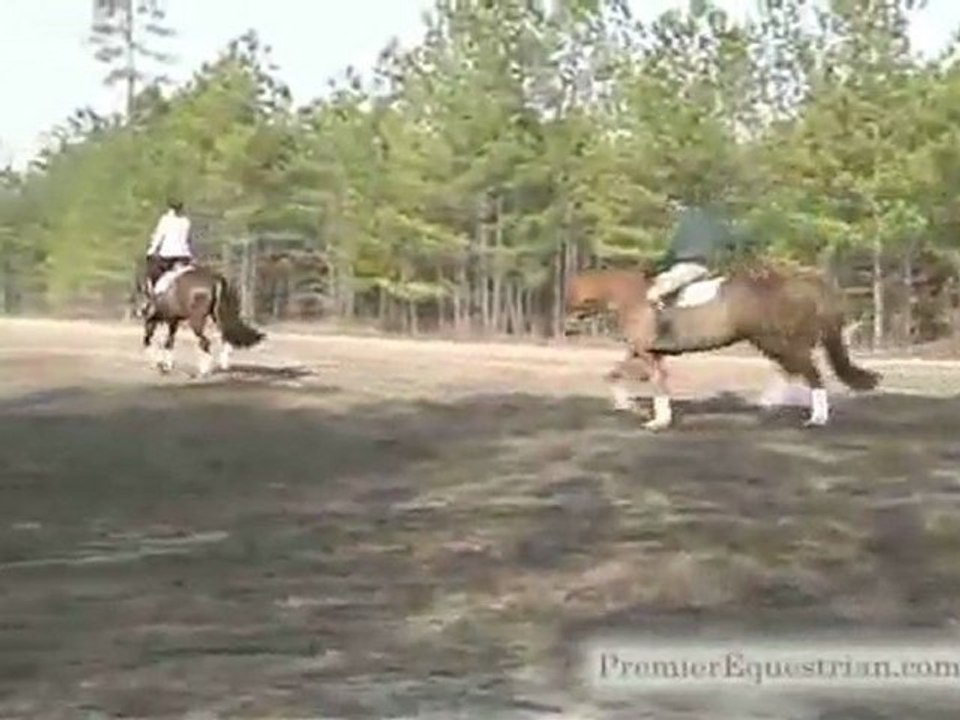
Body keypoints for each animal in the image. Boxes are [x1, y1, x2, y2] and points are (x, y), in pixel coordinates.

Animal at [135, 262, 265, 376]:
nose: (140, 312)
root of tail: (214, 279)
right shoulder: (173, 320)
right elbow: (169, 342)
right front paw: (166, 365)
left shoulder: (169, 319)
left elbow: (165, 341)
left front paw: (162, 365)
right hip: (216, 316)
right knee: (224, 336)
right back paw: (223, 364)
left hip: (196, 320)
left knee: (205, 342)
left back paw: (203, 371)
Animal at [563, 261, 880, 430]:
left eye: (573, 294)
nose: (567, 327)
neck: (633, 299)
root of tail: (802, 283)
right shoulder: (647, 352)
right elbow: (617, 374)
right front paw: (629, 405)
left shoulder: (646, 353)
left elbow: (654, 382)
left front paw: (657, 419)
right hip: (775, 342)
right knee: (794, 370)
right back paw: (768, 404)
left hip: (776, 340)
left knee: (810, 373)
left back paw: (816, 418)